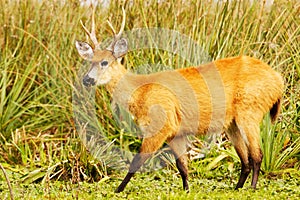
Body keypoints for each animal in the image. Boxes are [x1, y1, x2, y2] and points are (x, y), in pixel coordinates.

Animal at [75, 7, 284, 192]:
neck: (141, 91)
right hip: (232, 123)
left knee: (257, 155)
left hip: (249, 111)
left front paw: (118, 190)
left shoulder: (161, 124)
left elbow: (137, 160)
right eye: (90, 61)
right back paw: (237, 188)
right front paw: (187, 190)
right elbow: (182, 166)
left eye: (104, 62)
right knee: (245, 159)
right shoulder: (176, 132)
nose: (86, 79)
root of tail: (278, 80)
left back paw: (252, 188)